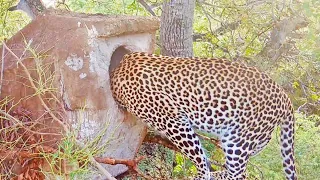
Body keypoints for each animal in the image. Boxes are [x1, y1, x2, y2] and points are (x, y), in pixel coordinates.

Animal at [110, 52, 298, 180]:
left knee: (239, 174)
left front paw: (202, 174)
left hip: (238, 142)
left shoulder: (174, 121)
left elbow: (198, 156)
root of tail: (285, 98)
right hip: (254, 140)